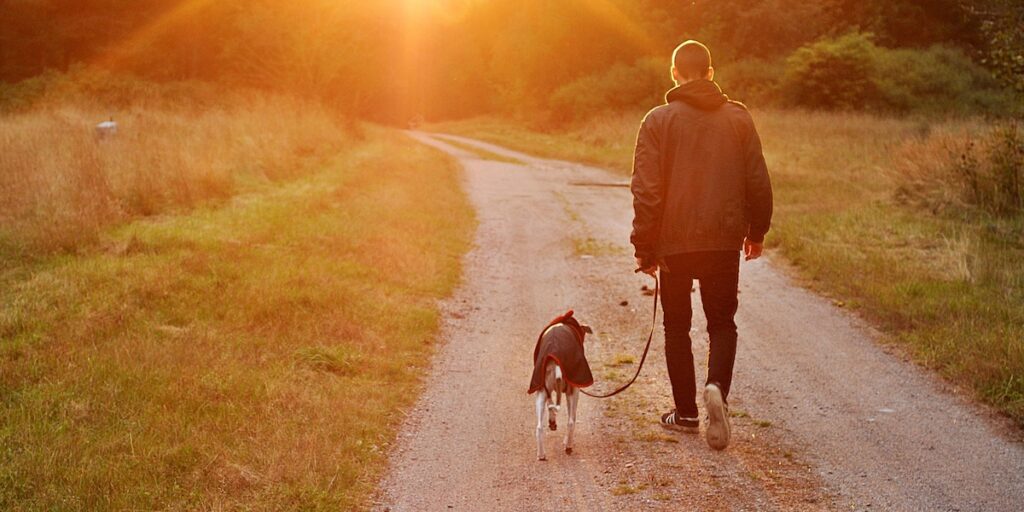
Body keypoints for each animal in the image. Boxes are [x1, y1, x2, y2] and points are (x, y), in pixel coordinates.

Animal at [528, 309, 593, 462]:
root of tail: (555, 359)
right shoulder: (574, 389)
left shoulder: (547, 391)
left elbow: (550, 406)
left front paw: (552, 422)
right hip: (573, 392)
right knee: (571, 421)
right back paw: (568, 445)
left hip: (540, 392)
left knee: (539, 427)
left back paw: (541, 455)